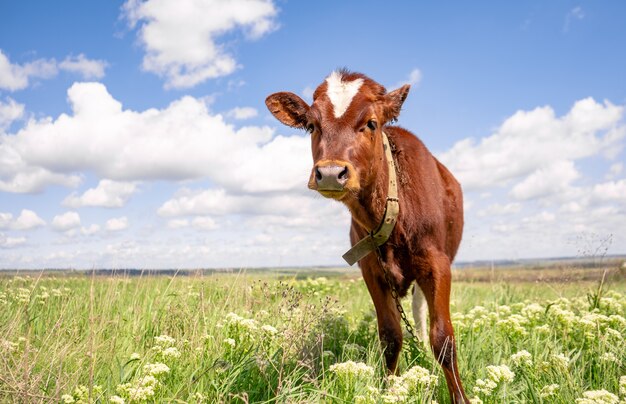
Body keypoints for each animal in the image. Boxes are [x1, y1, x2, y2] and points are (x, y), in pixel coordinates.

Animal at [266, 71, 466, 402]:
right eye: (312, 125)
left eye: (371, 123)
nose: (330, 173)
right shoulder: (371, 269)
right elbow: (390, 335)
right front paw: (388, 389)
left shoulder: (438, 265)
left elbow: (443, 339)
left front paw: (460, 396)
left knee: (421, 313)